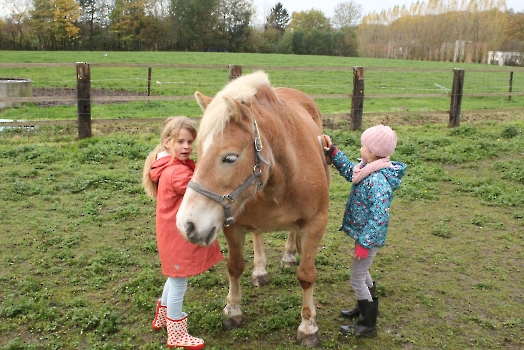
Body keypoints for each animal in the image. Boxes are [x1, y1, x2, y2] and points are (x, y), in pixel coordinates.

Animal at [177, 71, 332, 348]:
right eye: (198, 151)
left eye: (229, 158)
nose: (187, 225)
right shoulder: (232, 223)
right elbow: (234, 266)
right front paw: (233, 310)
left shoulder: (315, 223)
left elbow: (306, 275)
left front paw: (308, 327)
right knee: (258, 235)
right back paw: (260, 269)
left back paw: (289, 254)